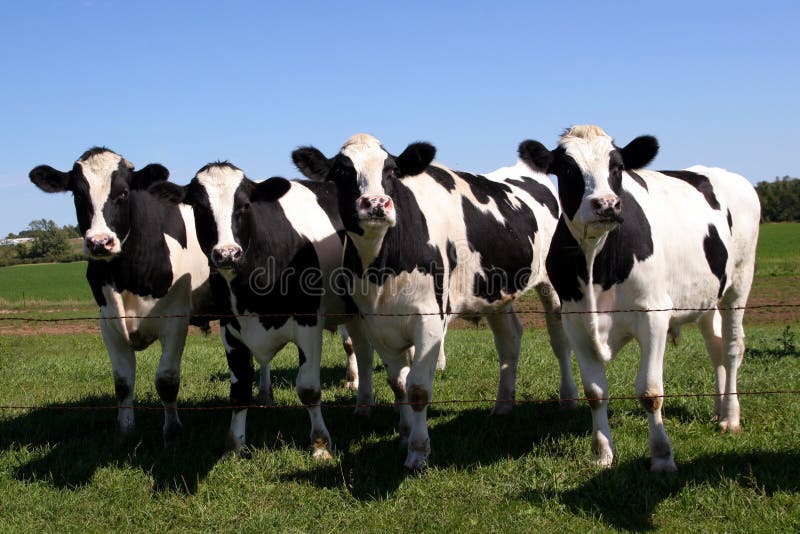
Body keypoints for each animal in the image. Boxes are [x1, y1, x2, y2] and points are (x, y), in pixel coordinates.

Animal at [30, 149, 214, 450]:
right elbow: (123, 381)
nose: (100, 242)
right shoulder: (108, 321)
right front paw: (124, 432)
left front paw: (172, 434)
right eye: (77, 194)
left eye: (124, 192)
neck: (125, 276)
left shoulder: (175, 318)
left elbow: (167, 380)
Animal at [155, 163, 380, 460]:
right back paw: (363, 405)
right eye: (199, 207)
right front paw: (234, 447)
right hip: (351, 312)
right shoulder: (231, 328)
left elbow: (308, 389)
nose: (227, 254)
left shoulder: (308, 322)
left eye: (244, 205)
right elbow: (239, 392)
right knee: (363, 352)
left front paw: (320, 445)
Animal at [292, 135, 576, 474]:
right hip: (495, 293)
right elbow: (398, 382)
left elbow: (417, 388)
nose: (376, 204)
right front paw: (404, 434)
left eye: (391, 170)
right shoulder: (377, 322)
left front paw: (418, 452)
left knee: (560, 340)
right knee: (510, 340)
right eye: (342, 171)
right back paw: (503, 406)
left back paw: (569, 398)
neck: (382, 267)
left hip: (553, 286)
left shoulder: (428, 319)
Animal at [520, 125, 760, 474]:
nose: (606, 204)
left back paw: (730, 417)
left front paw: (661, 456)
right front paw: (602, 453)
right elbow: (595, 392)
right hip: (706, 296)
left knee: (731, 348)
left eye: (617, 166)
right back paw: (718, 410)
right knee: (715, 347)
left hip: (739, 282)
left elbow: (650, 392)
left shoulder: (654, 317)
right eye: (566, 169)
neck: (596, 259)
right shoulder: (575, 322)